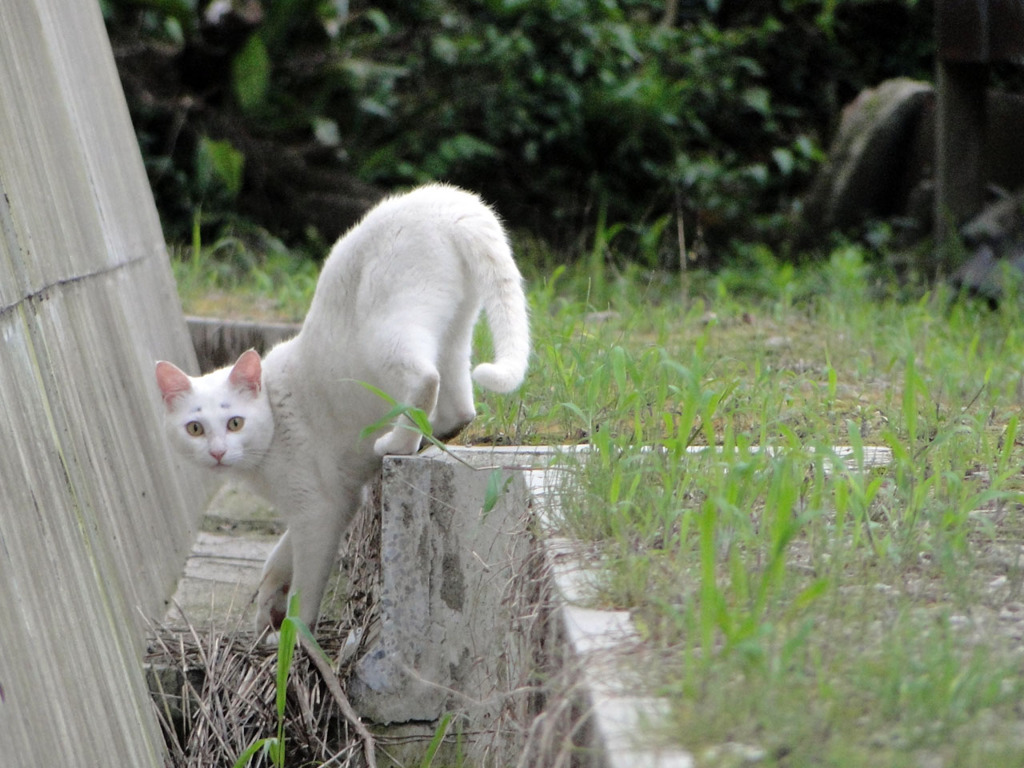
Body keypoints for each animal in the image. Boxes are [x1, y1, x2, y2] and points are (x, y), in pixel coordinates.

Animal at [157, 183, 536, 634]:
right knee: (460, 406)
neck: (273, 421)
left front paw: (297, 635)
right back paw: (431, 433)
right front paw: (269, 599)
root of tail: (453, 204)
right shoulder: (334, 501)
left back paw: (397, 443)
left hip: (387, 335)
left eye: (235, 423)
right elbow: (281, 552)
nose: (216, 452)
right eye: (195, 428)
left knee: (426, 380)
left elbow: (306, 583)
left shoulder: (319, 510)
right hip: (454, 333)